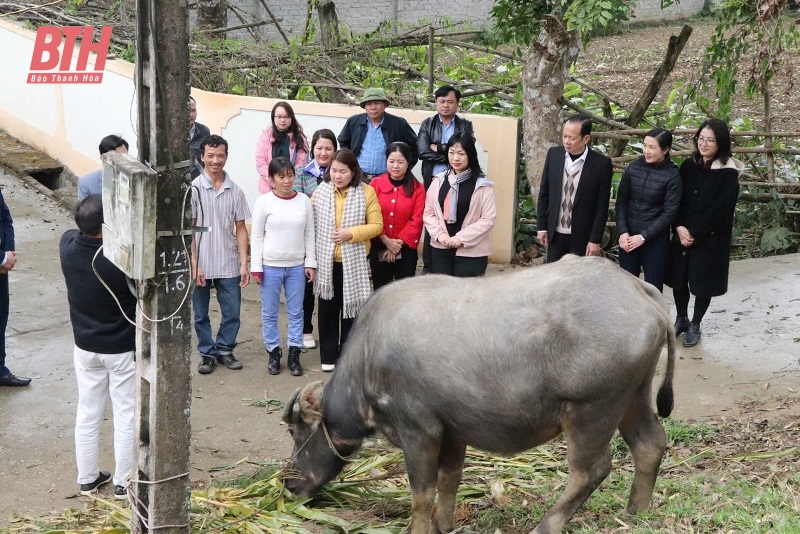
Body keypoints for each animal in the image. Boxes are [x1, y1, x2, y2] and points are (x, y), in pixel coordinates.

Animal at [282, 256, 676, 534]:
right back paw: (636, 510)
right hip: (634, 395)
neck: (368, 357)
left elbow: (421, 493)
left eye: (294, 430)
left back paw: (546, 525)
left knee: (591, 470)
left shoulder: (418, 430)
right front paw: (444, 524)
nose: (288, 485)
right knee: (649, 444)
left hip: (592, 410)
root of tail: (640, 290)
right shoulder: (452, 431)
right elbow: (449, 479)